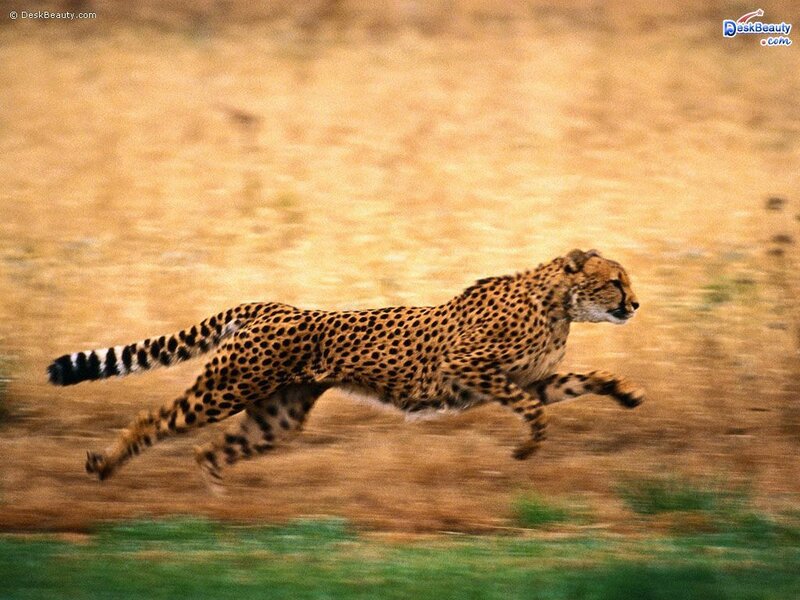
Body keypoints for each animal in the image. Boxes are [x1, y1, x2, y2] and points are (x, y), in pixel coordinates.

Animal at [47, 248, 643, 486]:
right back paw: (105, 466)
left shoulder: (531, 379)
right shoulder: (465, 367)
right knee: (157, 420)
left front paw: (626, 392)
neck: (558, 303)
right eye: (615, 280)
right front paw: (526, 448)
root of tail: (271, 305)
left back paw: (219, 500)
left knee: (209, 450)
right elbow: (532, 411)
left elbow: (582, 381)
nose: (635, 304)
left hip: (278, 415)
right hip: (226, 389)